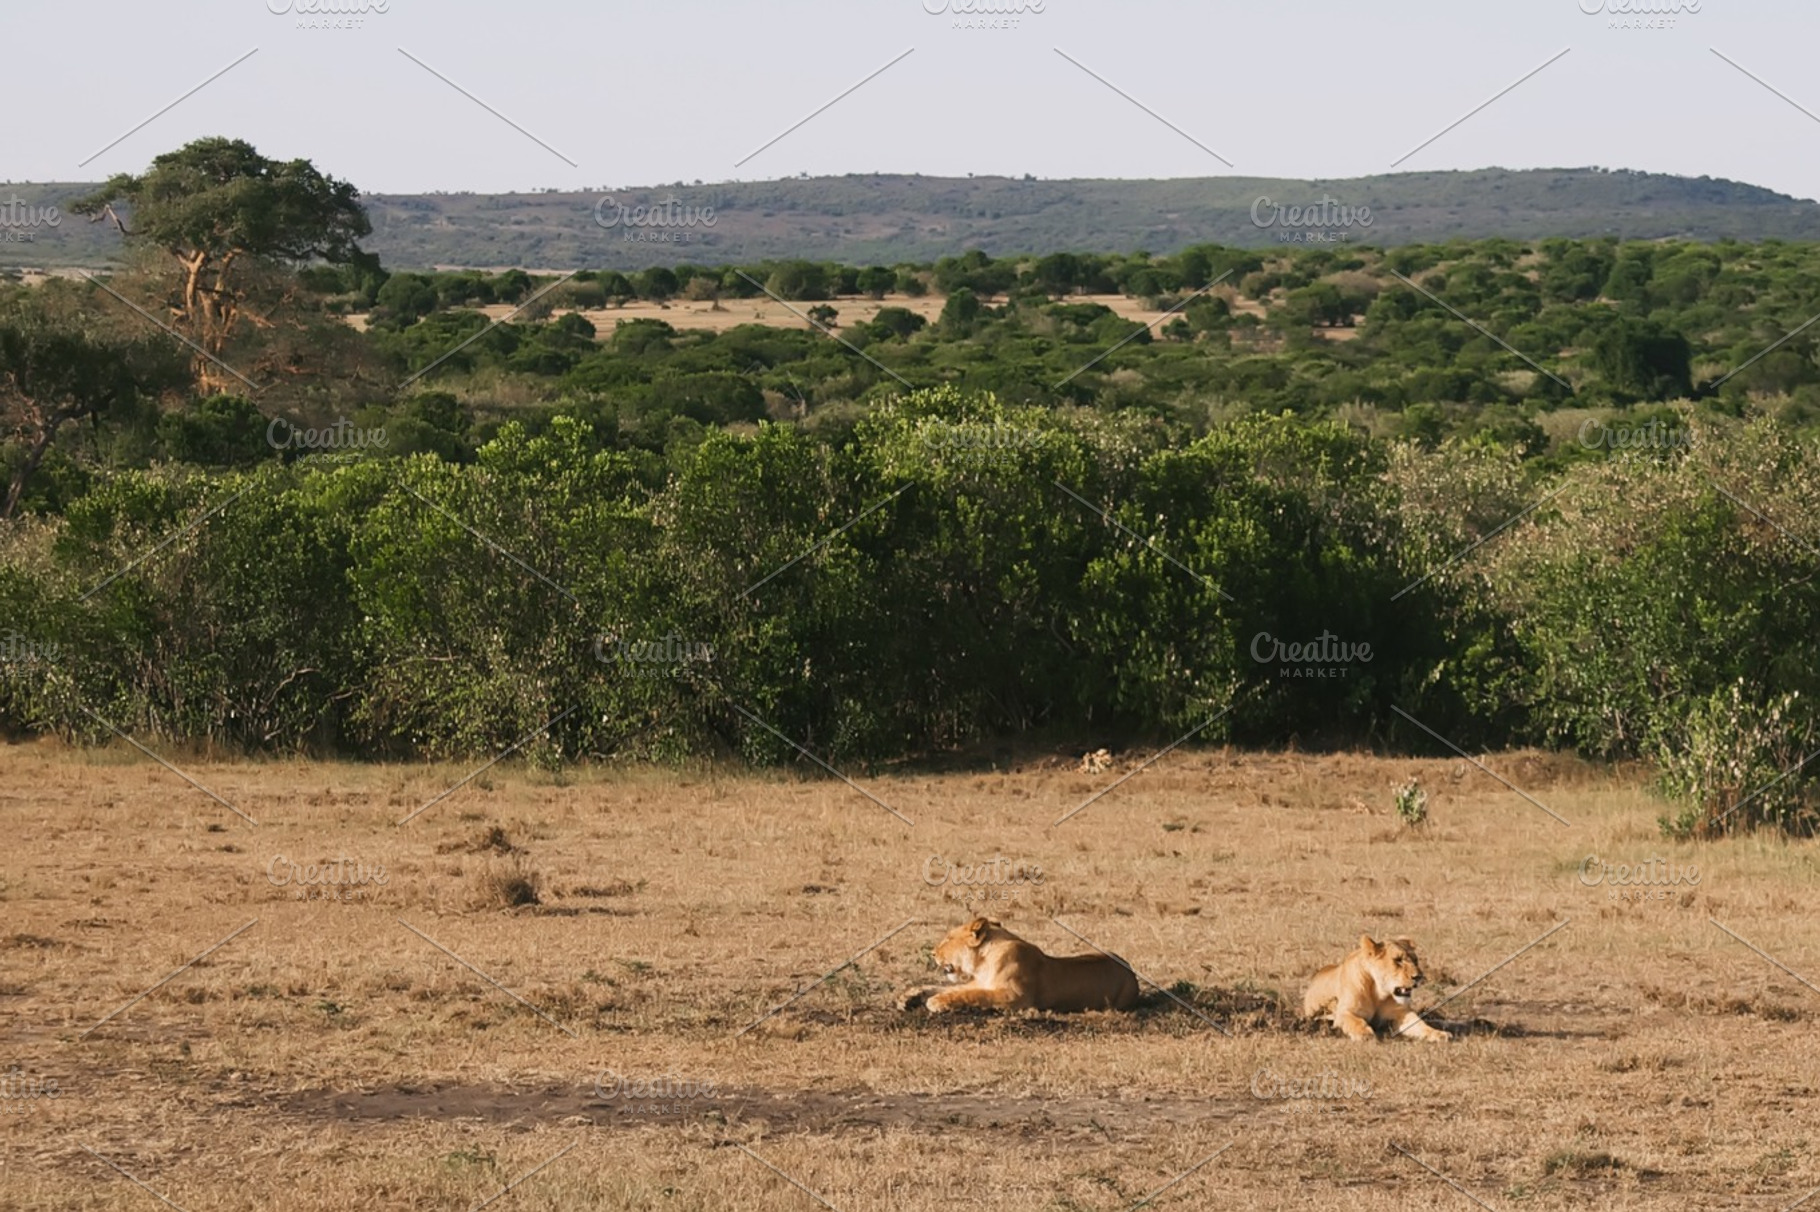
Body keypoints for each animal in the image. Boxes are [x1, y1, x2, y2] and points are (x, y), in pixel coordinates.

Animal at [898, 917, 1140, 1014]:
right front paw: (908, 996)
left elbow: (971, 995)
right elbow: (946, 988)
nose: (932, 952)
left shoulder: (1016, 997)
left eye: (948, 938)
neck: (983, 962)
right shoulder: (979, 982)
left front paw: (937, 1002)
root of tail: (1129, 968)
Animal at [1302, 934, 1452, 1043]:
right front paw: (1365, 1034)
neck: (1379, 993)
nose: (1419, 977)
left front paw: (1439, 1034)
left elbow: (1420, 1024)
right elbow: (1356, 1021)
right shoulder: (1344, 1012)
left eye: (1415, 960)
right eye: (1398, 960)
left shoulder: (1401, 1013)